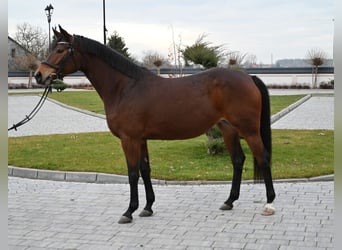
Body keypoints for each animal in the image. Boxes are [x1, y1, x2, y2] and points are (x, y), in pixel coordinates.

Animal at [34, 26, 276, 224]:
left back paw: (269, 204)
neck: (125, 87)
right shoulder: (140, 139)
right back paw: (229, 201)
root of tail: (248, 78)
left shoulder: (129, 139)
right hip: (228, 129)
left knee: (263, 158)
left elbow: (132, 173)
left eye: (60, 50)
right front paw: (147, 208)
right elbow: (145, 169)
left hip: (249, 130)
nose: (39, 75)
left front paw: (129, 212)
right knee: (238, 160)